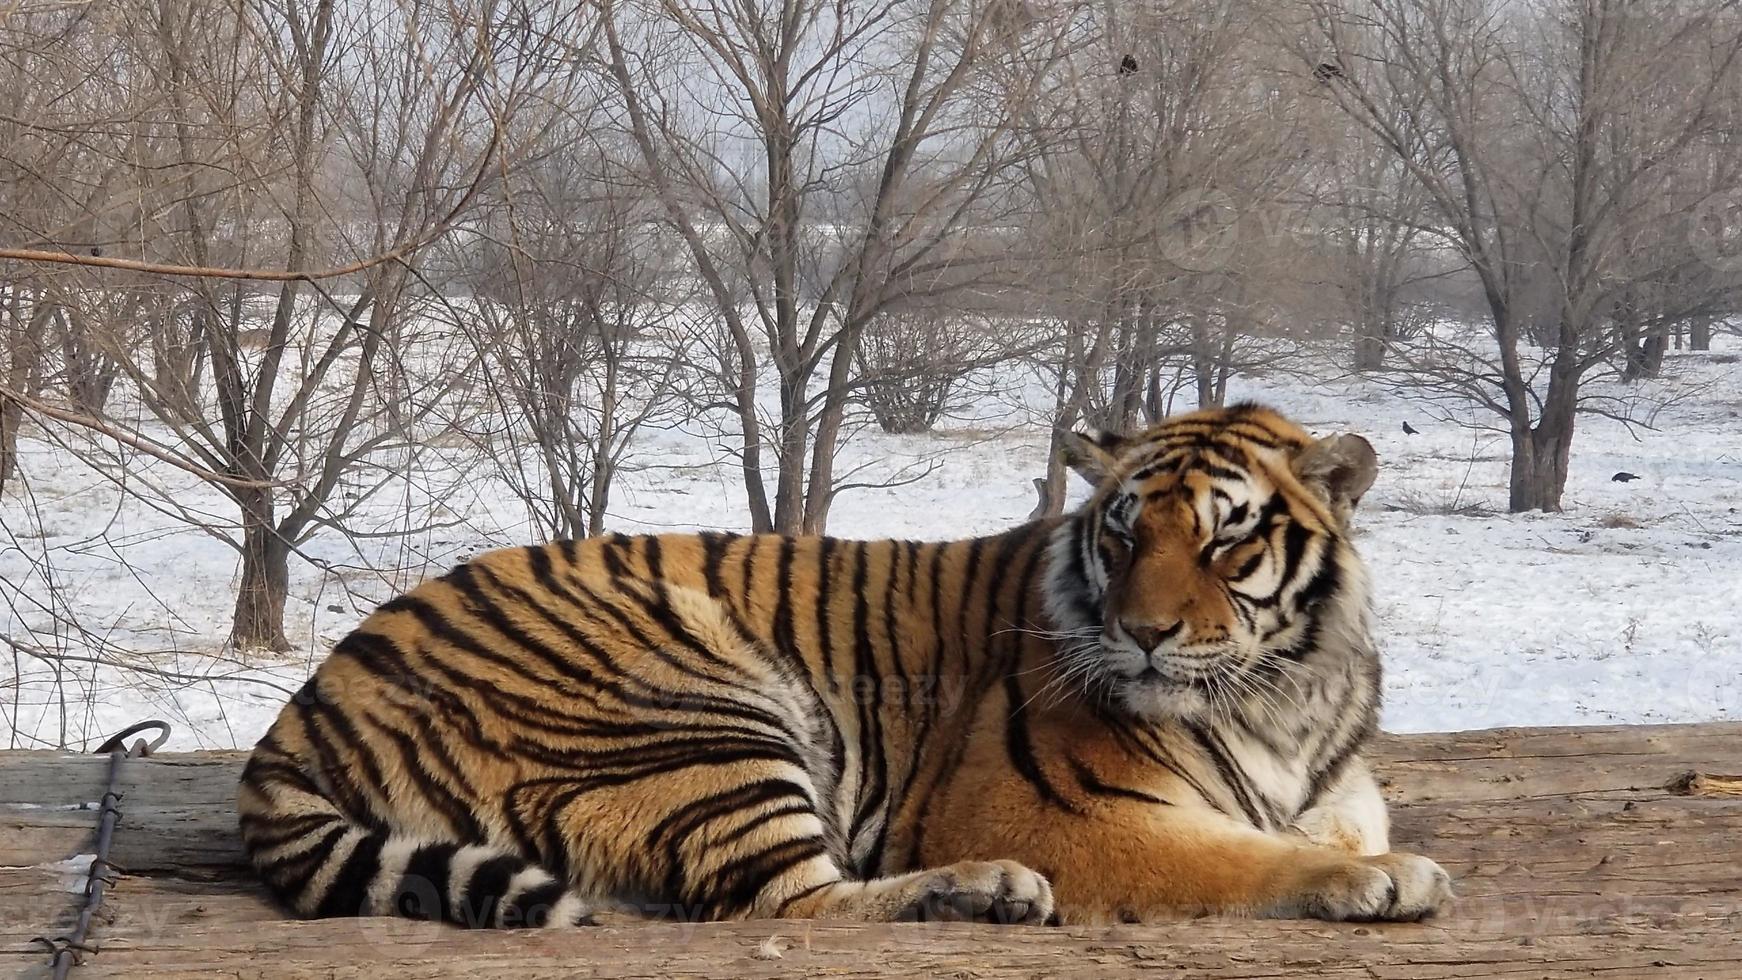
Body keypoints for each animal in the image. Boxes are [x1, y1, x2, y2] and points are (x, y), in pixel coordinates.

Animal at [235, 402, 1456, 933]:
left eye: (1223, 542)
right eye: (1120, 536)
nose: (1144, 632)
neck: (1282, 697)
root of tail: (300, 714)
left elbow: (1332, 821)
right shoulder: (1059, 811)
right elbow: (1239, 855)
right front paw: (1381, 881)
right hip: (703, 703)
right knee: (786, 903)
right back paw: (988, 889)